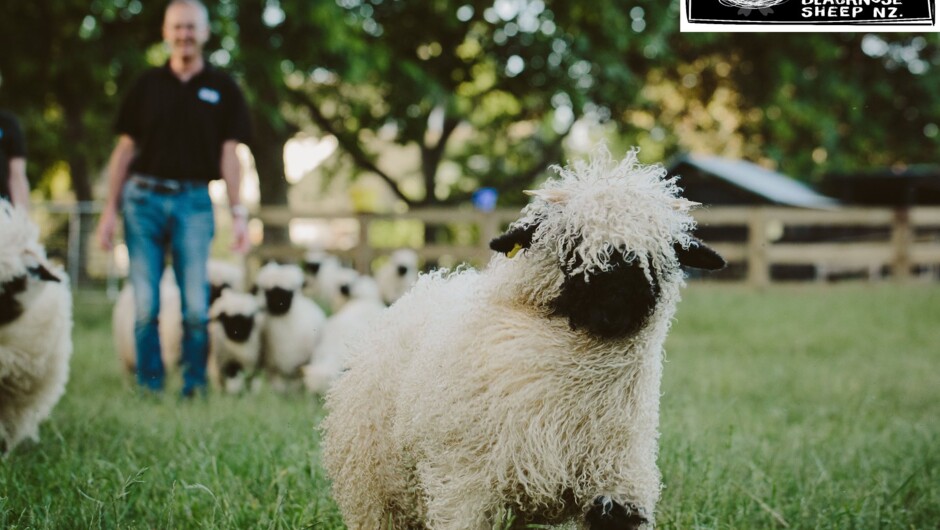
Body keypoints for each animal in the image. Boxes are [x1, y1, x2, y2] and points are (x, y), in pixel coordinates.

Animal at [321, 146, 726, 530]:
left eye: (658, 253)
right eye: (571, 242)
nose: (616, 304)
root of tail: (425, 287)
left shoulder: (618, 481)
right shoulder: (462, 485)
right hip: (375, 490)